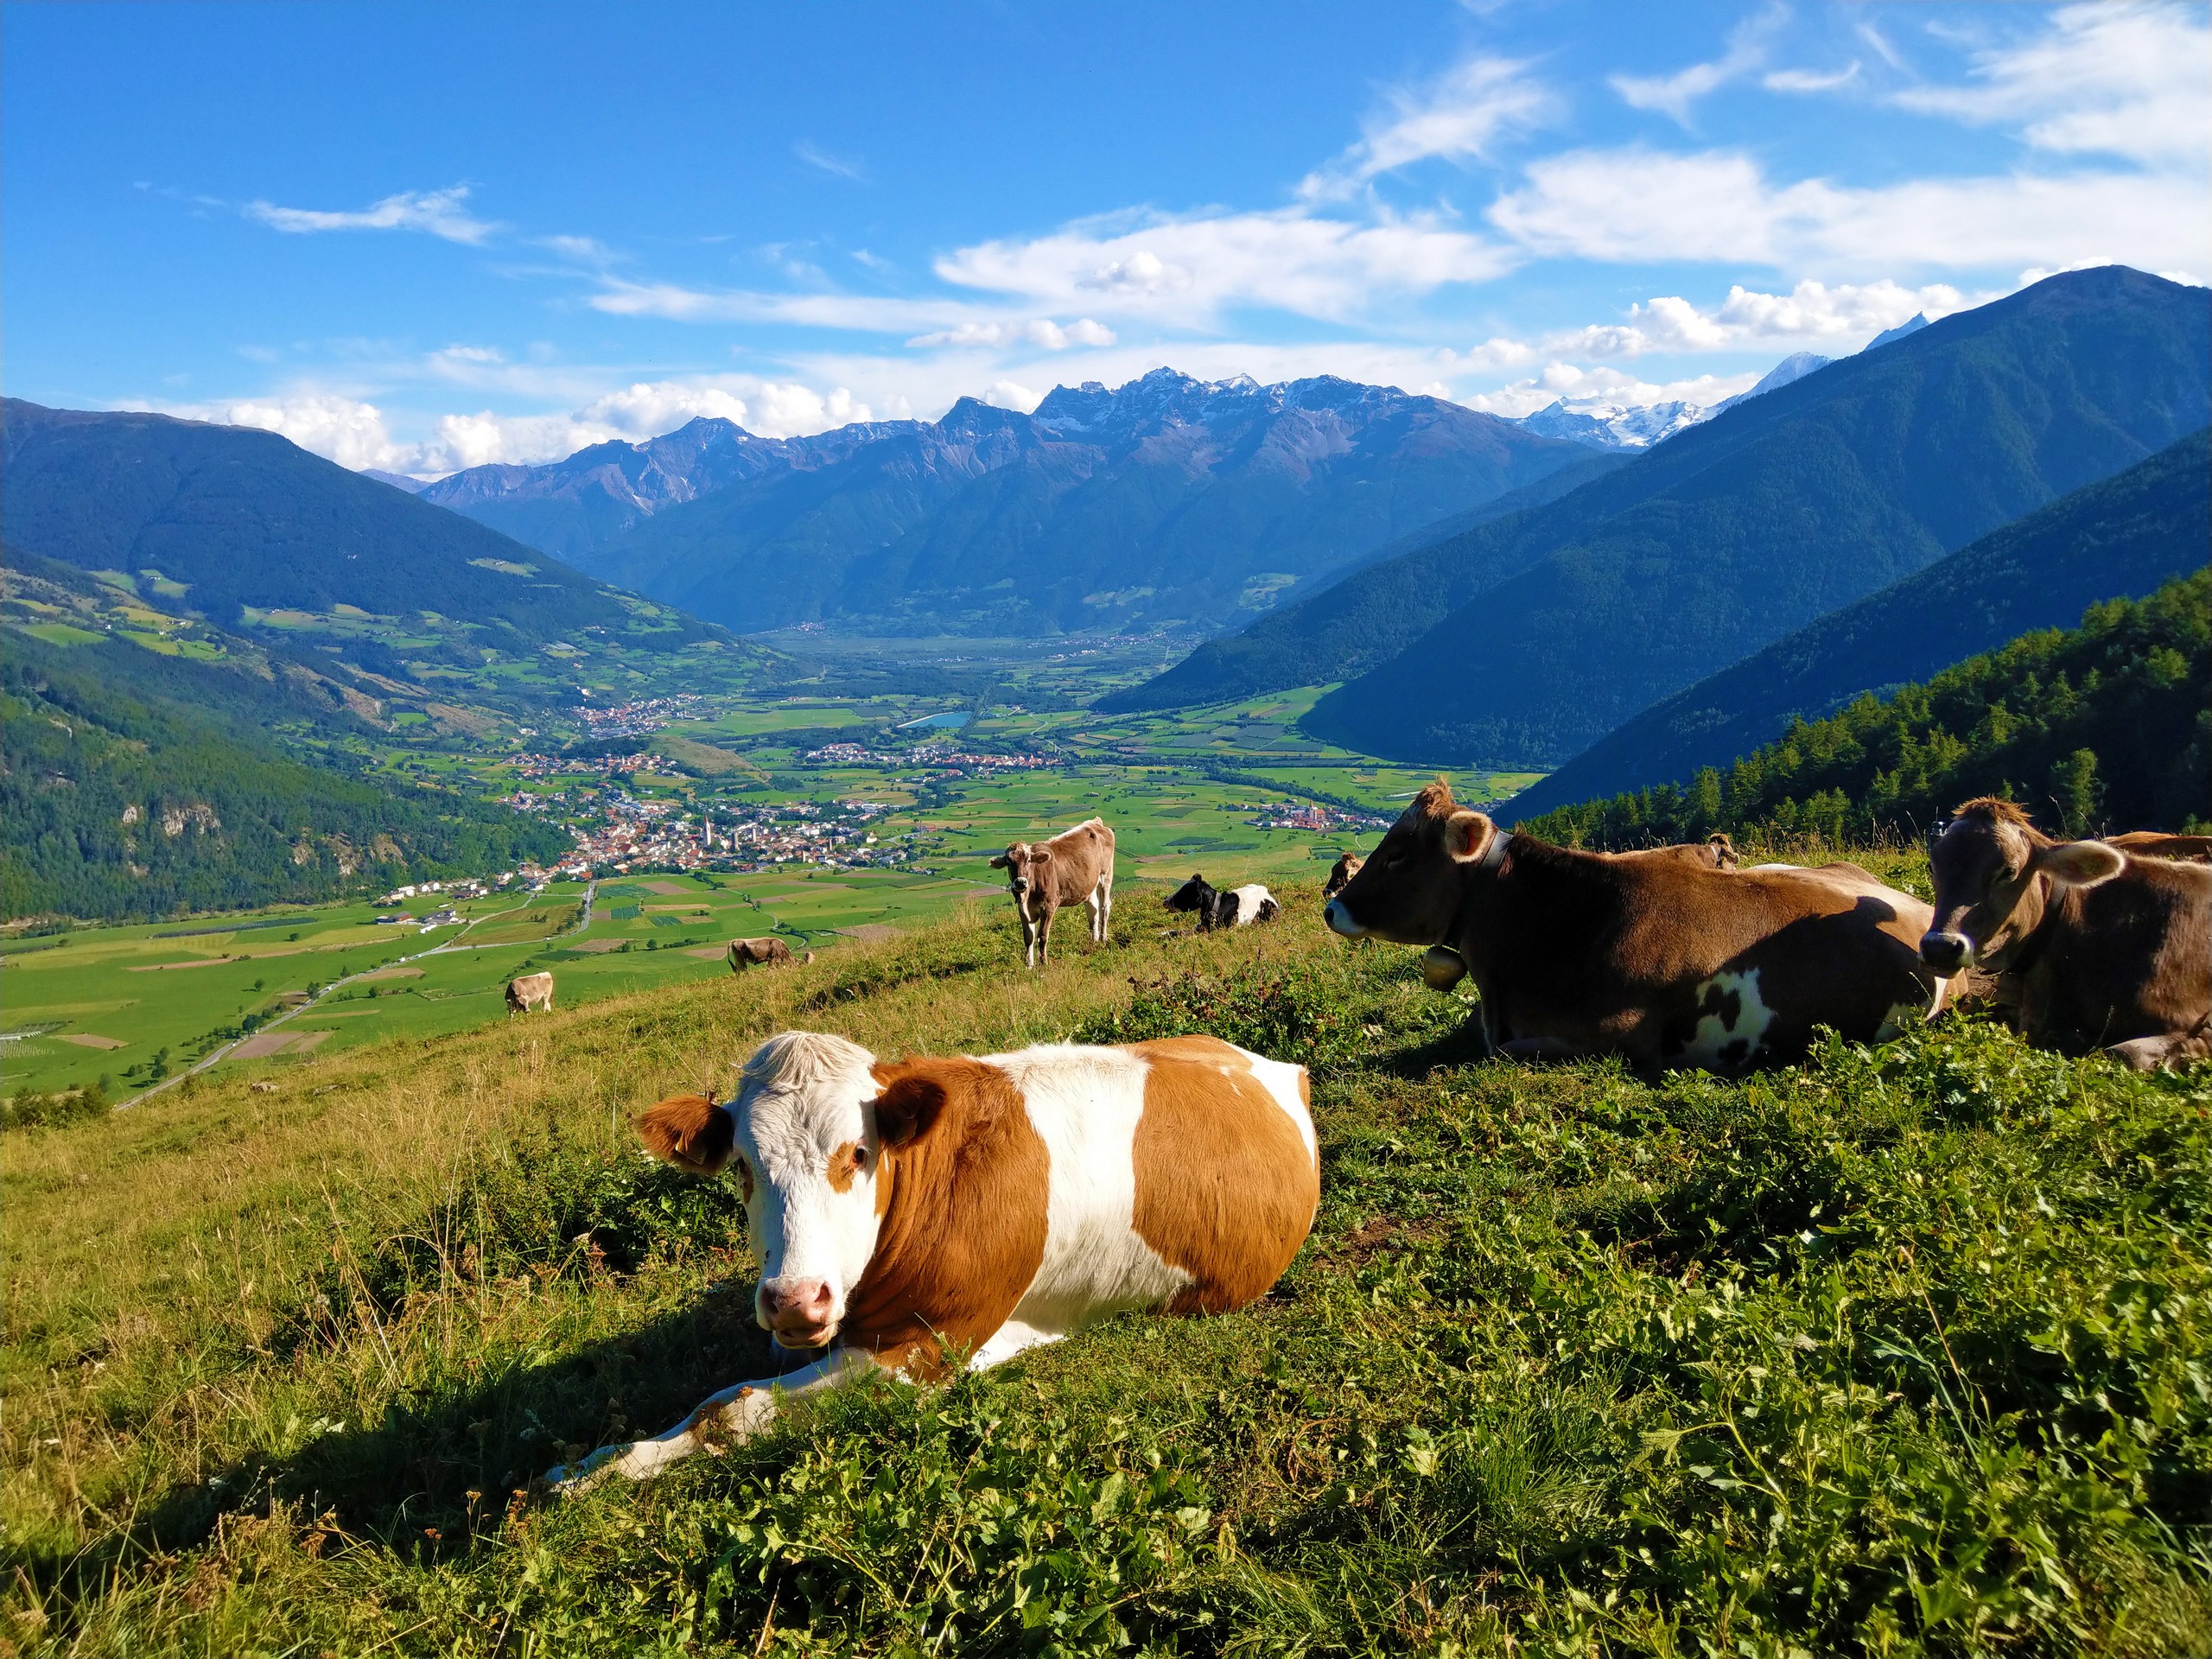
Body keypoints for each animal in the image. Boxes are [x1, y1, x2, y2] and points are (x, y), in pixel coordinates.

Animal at [995, 814, 1115, 969]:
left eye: (1029, 860)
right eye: (1009, 862)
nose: (1020, 882)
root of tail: (1094, 823)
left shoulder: (1049, 906)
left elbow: (1042, 936)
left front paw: (1043, 962)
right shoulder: (1022, 909)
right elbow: (1028, 937)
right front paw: (1029, 965)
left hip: (1105, 875)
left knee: (1104, 906)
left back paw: (1103, 938)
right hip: (1090, 884)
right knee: (1093, 910)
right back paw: (1093, 940)